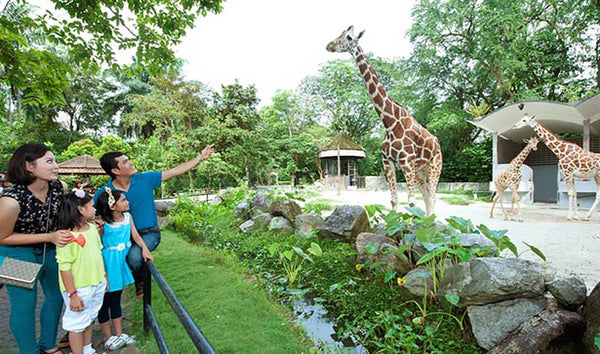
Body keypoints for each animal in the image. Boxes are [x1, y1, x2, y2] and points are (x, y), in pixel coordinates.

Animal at [326, 26, 442, 214]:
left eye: (349, 37)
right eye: (340, 33)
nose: (329, 45)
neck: (389, 122)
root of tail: (437, 143)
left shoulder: (406, 162)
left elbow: (411, 203)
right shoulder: (389, 163)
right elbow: (394, 200)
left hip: (434, 166)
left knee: (432, 196)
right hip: (420, 170)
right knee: (426, 195)